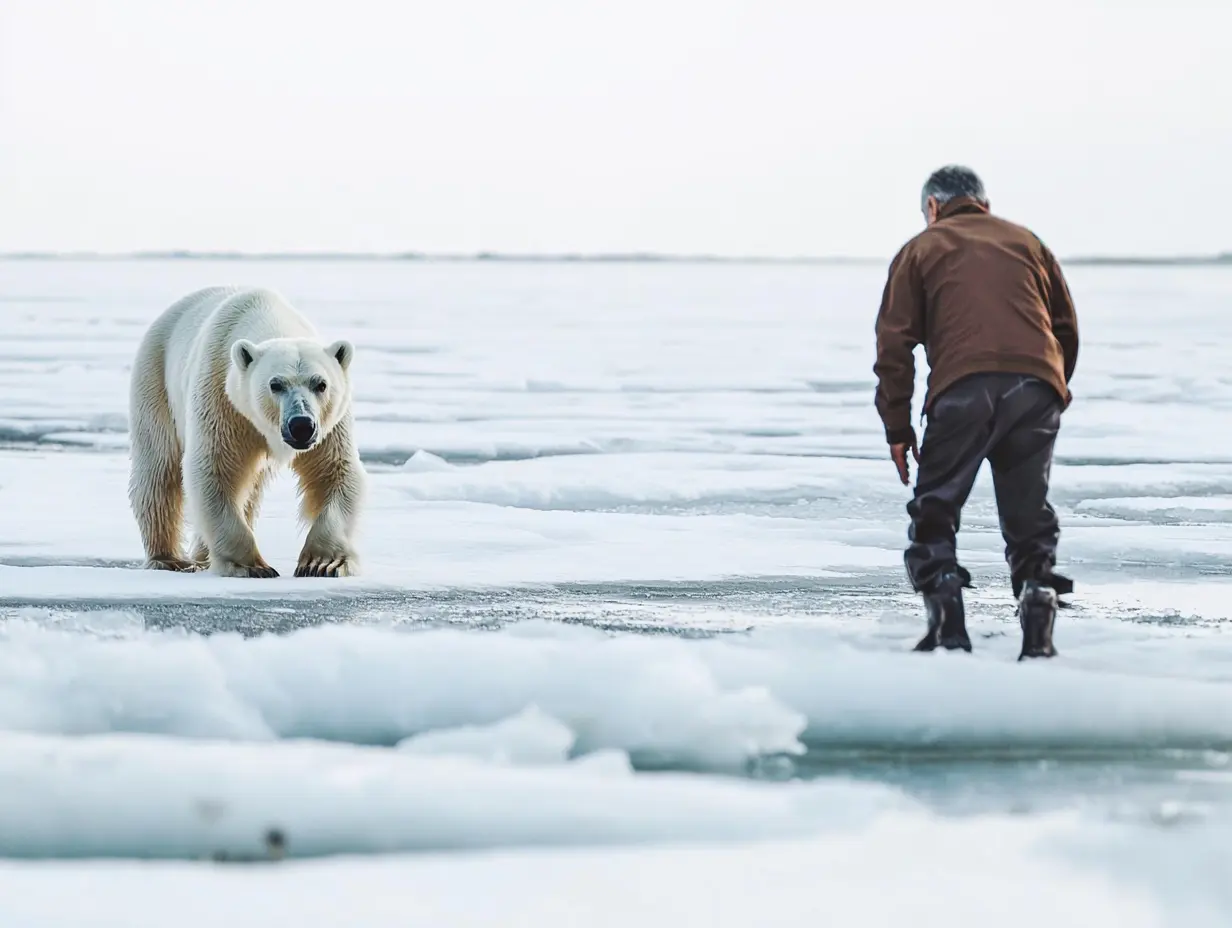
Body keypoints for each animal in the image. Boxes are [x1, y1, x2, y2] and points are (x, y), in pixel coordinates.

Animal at [127, 286, 366, 578]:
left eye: (321, 384)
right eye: (275, 384)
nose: (301, 425)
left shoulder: (329, 426)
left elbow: (335, 472)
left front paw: (324, 563)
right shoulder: (222, 400)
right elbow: (214, 469)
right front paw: (252, 566)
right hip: (155, 378)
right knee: (159, 468)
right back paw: (168, 558)